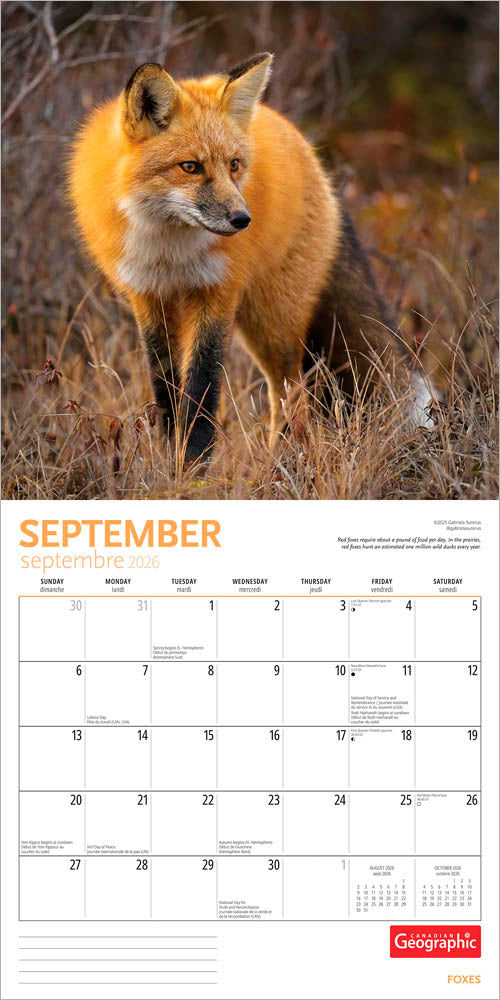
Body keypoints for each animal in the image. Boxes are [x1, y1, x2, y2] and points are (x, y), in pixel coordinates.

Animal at [69, 53, 434, 464]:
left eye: (234, 165)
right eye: (190, 166)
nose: (242, 220)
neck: (170, 251)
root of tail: (311, 157)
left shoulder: (217, 293)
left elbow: (203, 389)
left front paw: (193, 465)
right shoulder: (148, 298)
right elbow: (166, 387)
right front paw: (168, 456)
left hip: (272, 321)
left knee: (290, 390)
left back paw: (282, 461)